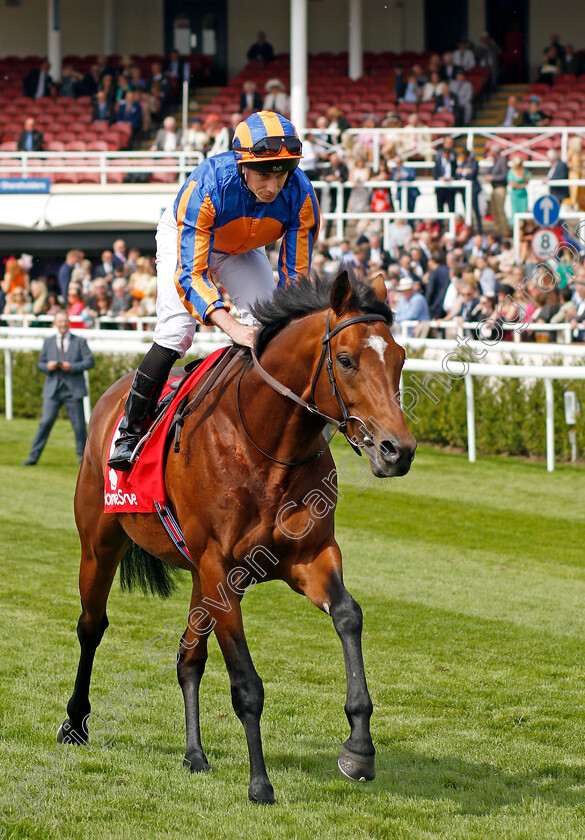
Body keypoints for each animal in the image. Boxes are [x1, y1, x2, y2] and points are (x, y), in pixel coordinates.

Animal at [58, 272, 416, 804]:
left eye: (400, 358)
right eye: (348, 359)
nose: (398, 450)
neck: (265, 444)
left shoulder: (308, 556)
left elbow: (348, 615)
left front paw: (359, 748)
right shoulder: (220, 569)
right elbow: (246, 684)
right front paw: (260, 783)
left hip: (197, 579)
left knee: (188, 657)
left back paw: (194, 754)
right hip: (100, 544)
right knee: (91, 626)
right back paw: (75, 723)